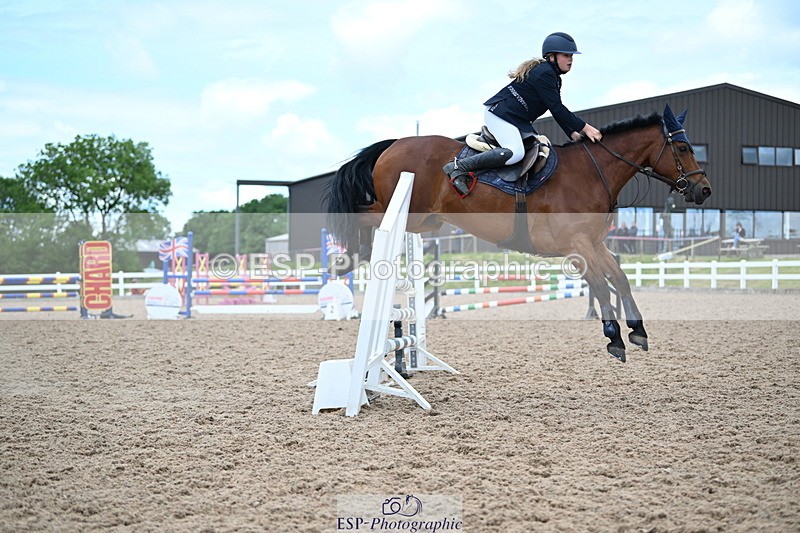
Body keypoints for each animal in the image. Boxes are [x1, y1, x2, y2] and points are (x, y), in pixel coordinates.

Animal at [324, 105, 712, 362]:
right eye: (682, 148)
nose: (704, 190)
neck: (593, 173)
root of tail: (393, 144)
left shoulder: (595, 243)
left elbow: (620, 279)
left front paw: (638, 331)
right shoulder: (577, 246)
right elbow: (602, 285)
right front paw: (614, 338)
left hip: (425, 222)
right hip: (409, 212)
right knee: (362, 213)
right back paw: (349, 257)